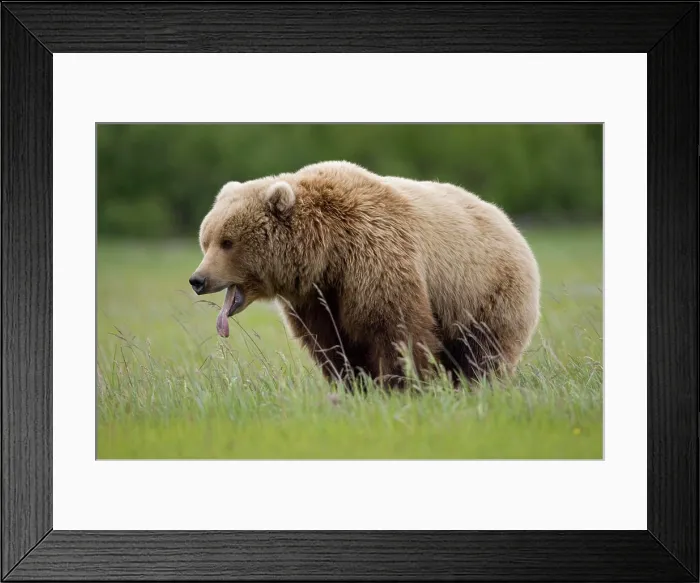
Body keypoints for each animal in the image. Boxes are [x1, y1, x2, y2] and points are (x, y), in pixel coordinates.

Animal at [189, 160, 540, 390]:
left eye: (227, 242)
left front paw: (401, 385)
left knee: (483, 351)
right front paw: (353, 386)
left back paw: (478, 385)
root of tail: (507, 221)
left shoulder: (375, 260)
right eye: (206, 240)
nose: (198, 280)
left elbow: (396, 330)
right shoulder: (317, 299)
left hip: (481, 291)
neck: (328, 253)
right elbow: (332, 346)